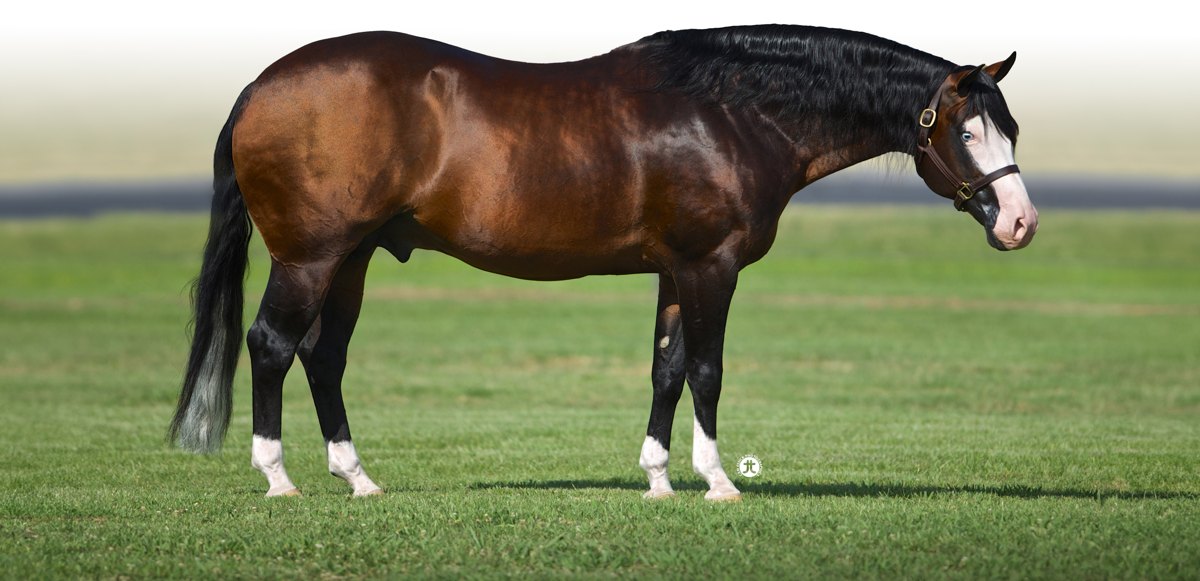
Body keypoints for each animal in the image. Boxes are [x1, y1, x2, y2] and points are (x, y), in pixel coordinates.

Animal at [169, 25, 1037, 500]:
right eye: (965, 130)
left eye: (1013, 127)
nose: (1021, 222)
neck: (729, 109)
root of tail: (259, 87)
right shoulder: (712, 266)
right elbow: (708, 370)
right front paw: (719, 481)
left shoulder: (675, 269)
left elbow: (666, 367)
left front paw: (657, 478)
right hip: (310, 256)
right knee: (272, 345)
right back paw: (279, 475)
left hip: (351, 258)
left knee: (323, 357)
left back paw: (357, 477)